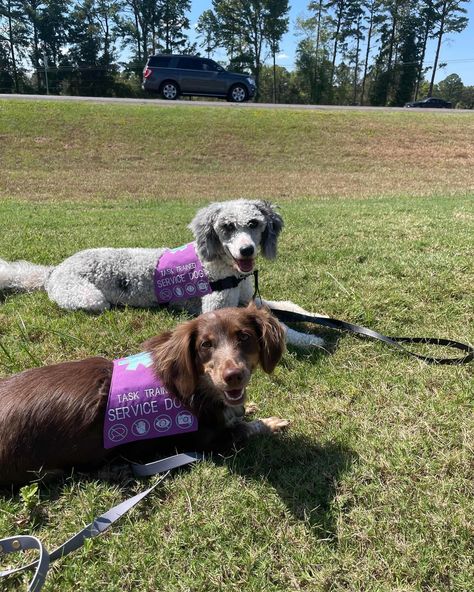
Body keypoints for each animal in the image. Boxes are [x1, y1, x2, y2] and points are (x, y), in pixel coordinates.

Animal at [0, 200, 322, 346]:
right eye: (227, 227)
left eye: (254, 223)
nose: (246, 251)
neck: (222, 266)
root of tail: (53, 271)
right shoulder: (218, 309)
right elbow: (277, 325)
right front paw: (310, 340)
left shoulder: (248, 298)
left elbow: (288, 307)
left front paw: (318, 317)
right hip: (88, 297)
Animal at [0, 306, 286, 486]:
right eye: (205, 344)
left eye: (244, 337)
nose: (233, 376)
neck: (199, 389)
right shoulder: (208, 442)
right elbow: (244, 429)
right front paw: (269, 423)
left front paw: (247, 408)